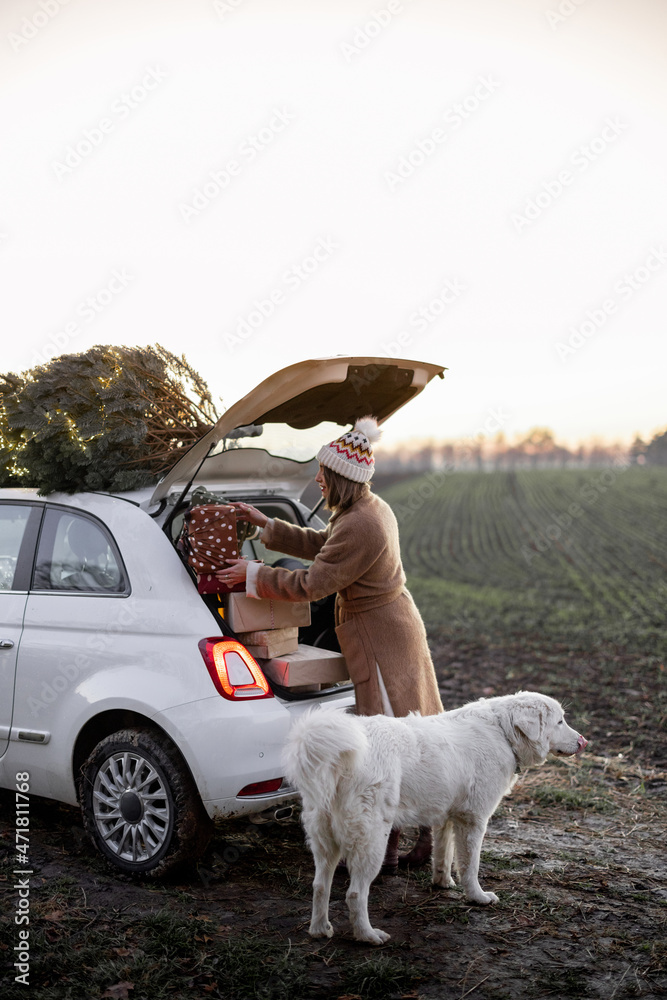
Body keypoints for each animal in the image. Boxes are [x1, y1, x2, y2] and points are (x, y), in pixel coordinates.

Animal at [284, 692, 588, 940]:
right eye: (560, 721)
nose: (584, 741)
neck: (501, 731)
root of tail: (339, 756)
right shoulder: (473, 821)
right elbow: (470, 866)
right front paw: (477, 897)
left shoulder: (446, 819)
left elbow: (443, 855)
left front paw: (443, 884)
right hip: (372, 843)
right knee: (355, 894)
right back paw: (367, 936)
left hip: (326, 843)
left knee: (320, 886)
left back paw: (319, 930)